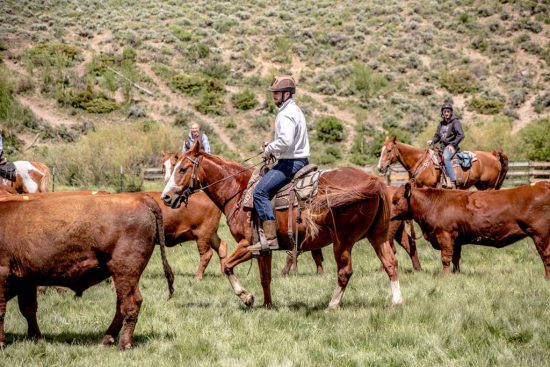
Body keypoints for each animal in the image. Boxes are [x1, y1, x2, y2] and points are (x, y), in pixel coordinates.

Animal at [0, 193, 175, 350]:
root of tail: (141, 198)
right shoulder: (26, 280)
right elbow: (28, 309)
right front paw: (35, 338)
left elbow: (3, 310)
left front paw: (2, 343)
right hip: (123, 276)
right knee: (121, 305)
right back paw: (106, 340)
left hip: (126, 272)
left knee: (130, 304)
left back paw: (124, 344)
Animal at [162, 144, 404, 310]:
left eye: (182, 169)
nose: (166, 197)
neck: (238, 190)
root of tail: (373, 180)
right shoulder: (263, 249)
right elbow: (265, 277)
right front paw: (267, 305)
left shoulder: (247, 244)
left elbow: (227, 266)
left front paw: (247, 297)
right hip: (378, 236)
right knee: (390, 264)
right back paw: (397, 301)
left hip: (342, 241)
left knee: (345, 272)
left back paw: (332, 305)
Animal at [380, 137, 508, 191]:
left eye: (389, 150)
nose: (380, 167)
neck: (420, 162)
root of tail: (493, 155)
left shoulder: (428, 187)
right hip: (481, 185)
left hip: (490, 186)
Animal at [392, 181, 550, 278]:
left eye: (396, 200)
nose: (389, 214)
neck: (432, 204)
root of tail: (542, 184)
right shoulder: (456, 239)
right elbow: (456, 258)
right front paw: (456, 274)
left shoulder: (445, 234)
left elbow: (445, 258)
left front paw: (445, 277)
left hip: (541, 235)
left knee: (545, 256)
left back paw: (546, 278)